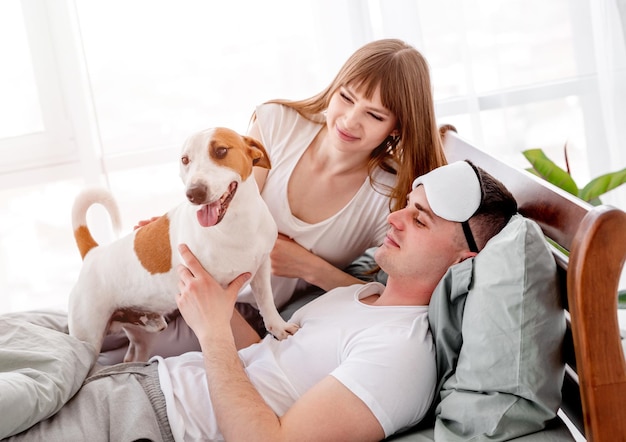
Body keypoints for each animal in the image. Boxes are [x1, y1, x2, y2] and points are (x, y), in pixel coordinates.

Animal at [68, 126, 298, 360]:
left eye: (221, 151)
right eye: (185, 160)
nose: (194, 193)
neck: (235, 224)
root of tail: (93, 253)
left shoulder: (261, 268)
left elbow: (266, 302)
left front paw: (278, 327)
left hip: (143, 338)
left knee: (133, 357)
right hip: (89, 335)